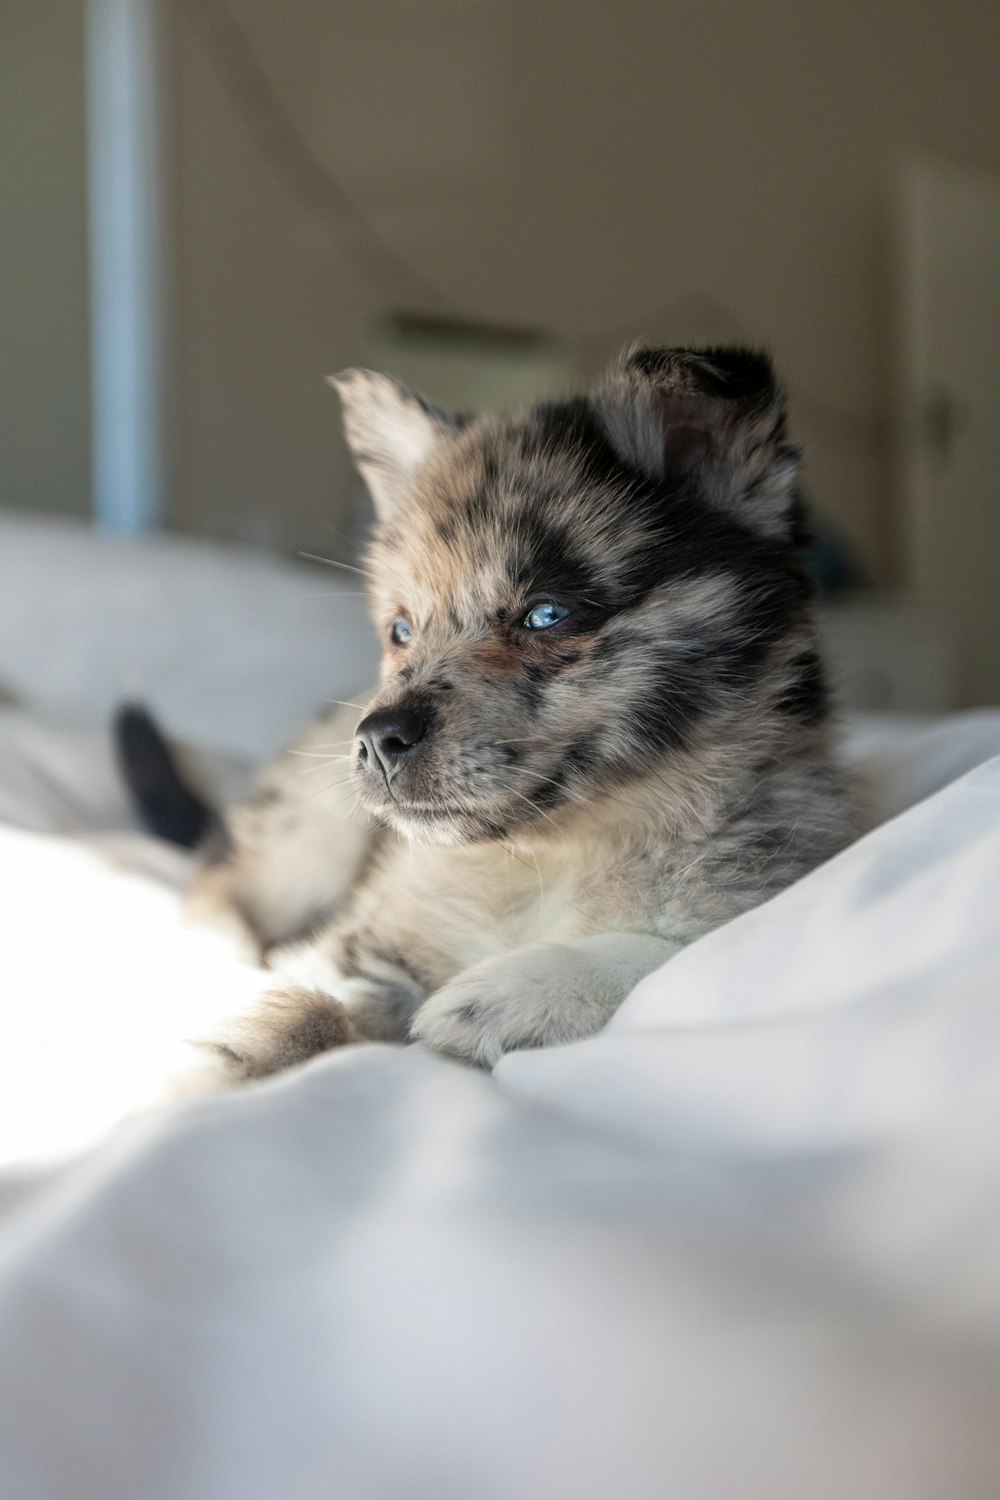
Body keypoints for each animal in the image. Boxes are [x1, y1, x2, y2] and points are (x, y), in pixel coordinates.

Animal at [125, 348, 857, 1080]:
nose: (377, 740)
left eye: (546, 615)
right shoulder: (365, 937)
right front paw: (189, 1083)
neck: (552, 856)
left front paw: (510, 994)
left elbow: (677, 957)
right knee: (220, 881)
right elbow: (299, 1010)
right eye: (400, 631)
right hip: (307, 829)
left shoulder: (760, 892)